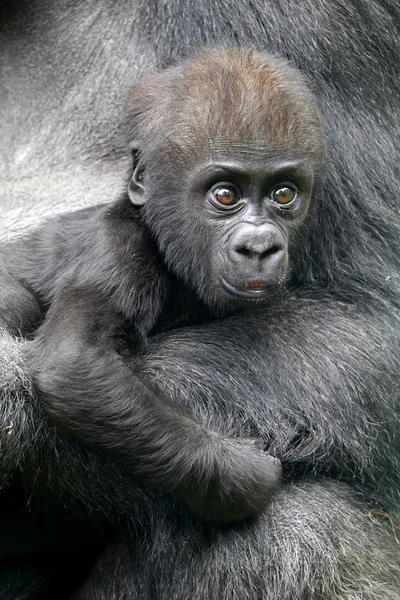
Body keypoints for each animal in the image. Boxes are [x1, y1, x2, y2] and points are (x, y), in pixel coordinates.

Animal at [0, 49, 324, 524]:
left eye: (284, 194)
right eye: (225, 195)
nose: (260, 246)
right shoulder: (119, 249)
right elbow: (75, 361)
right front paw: (237, 473)